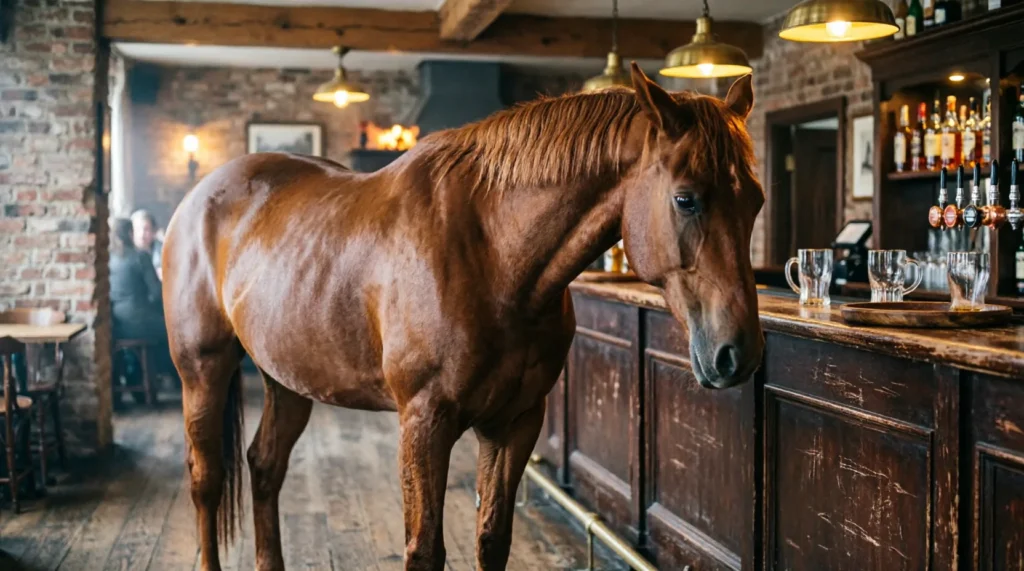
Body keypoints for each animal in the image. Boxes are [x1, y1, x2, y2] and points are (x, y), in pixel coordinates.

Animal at [161, 64, 764, 571]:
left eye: (756, 200)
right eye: (686, 199)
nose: (739, 353)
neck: (491, 252)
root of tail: (199, 197)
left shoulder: (515, 421)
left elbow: (491, 539)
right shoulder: (424, 422)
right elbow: (424, 550)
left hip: (285, 379)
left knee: (265, 467)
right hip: (203, 370)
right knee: (205, 480)